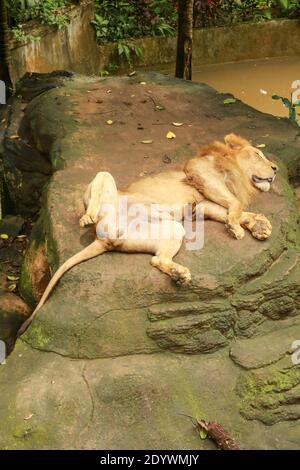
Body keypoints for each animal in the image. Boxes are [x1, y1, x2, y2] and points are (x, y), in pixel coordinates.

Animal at [17, 134, 278, 336]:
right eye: (258, 154)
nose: (275, 169)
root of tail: (102, 238)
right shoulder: (202, 174)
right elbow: (234, 204)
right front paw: (239, 227)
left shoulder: (201, 204)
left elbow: (234, 211)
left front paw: (258, 225)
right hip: (104, 180)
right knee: (96, 202)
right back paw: (87, 218)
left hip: (171, 229)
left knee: (157, 259)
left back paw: (179, 274)